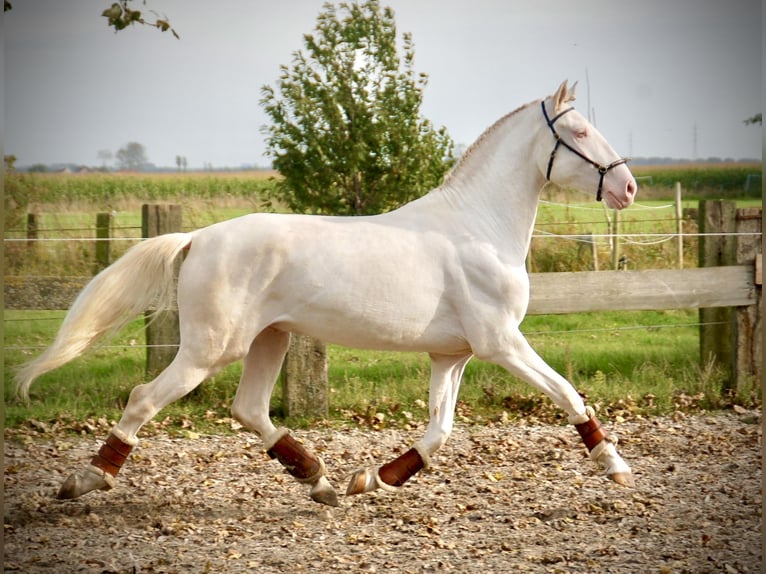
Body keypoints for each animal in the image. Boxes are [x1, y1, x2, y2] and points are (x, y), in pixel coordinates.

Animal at [18, 80, 640, 508]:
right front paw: (614, 463)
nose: (628, 187)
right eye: (579, 132)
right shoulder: (502, 343)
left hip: (268, 340)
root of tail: (198, 237)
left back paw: (318, 480)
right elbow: (569, 396)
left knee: (248, 408)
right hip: (208, 349)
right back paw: (85, 479)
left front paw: (372, 478)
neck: (479, 227)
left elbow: (439, 430)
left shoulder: (452, 355)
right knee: (144, 399)